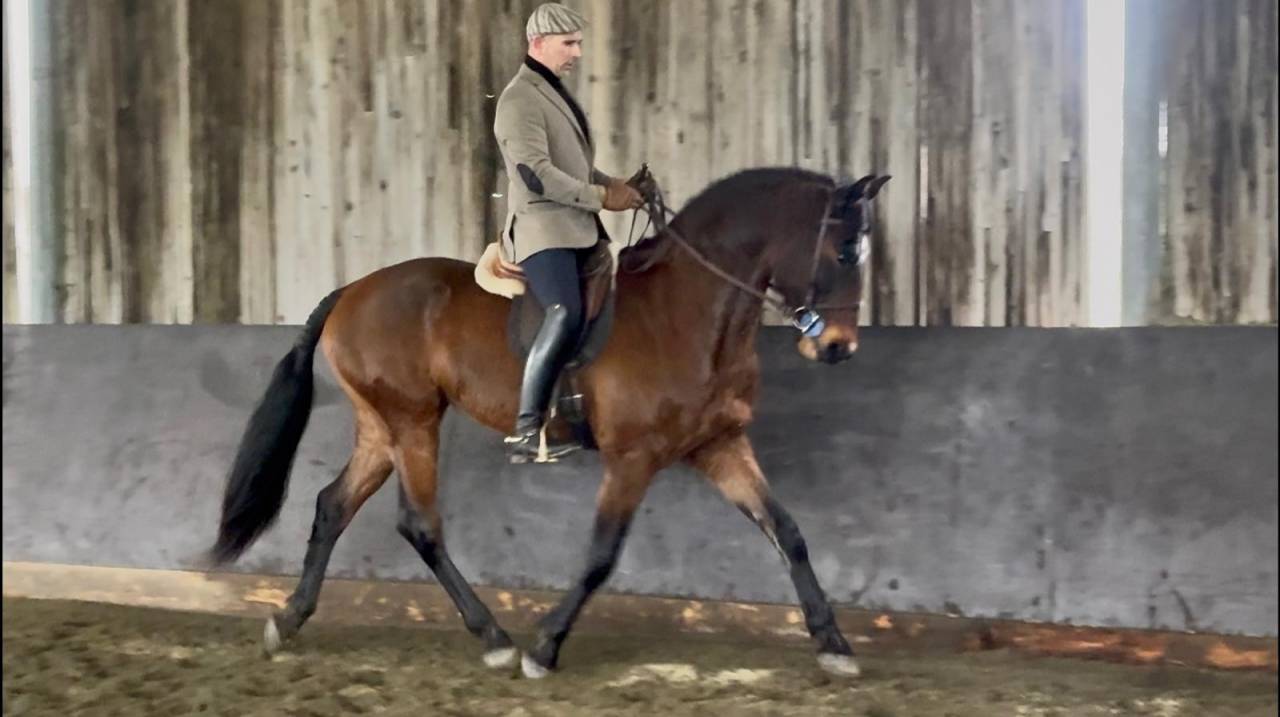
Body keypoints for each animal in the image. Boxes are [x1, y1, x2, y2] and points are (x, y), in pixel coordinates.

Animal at [208, 166, 891, 679]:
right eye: (842, 250)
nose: (838, 347)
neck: (688, 312)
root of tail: (351, 291)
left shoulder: (720, 445)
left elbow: (788, 532)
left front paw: (833, 645)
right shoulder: (633, 459)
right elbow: (600, 557)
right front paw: (545, 647)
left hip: (382, 428)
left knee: (332, 506)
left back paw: (287, 621)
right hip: (412, 422)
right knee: (419, 525)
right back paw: (494, 639)